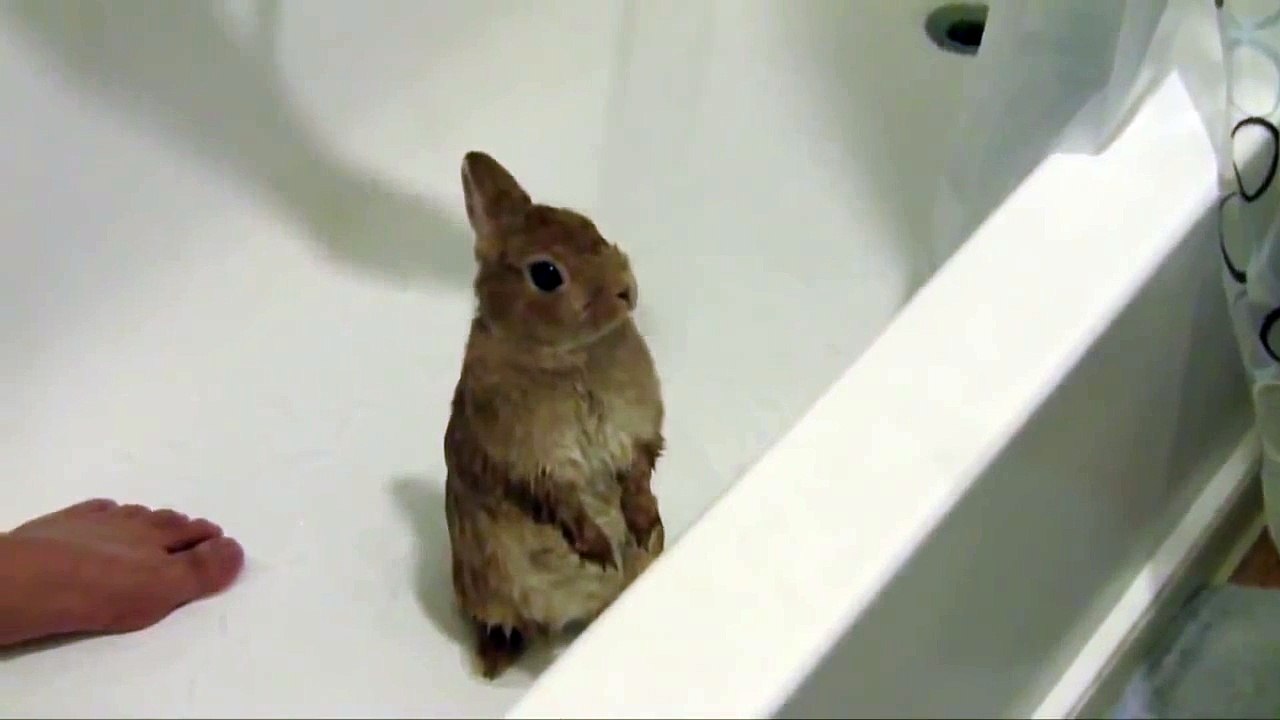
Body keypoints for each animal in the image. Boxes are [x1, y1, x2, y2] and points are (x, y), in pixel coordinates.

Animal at [443, 151, 666, 679]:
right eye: (546, 274)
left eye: (587, 225)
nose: (626, 291)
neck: (569, 361)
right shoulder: (527, 461)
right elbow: (560, 501)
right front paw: (598, 550)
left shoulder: (636, 428)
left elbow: (638, 470)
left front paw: (642, 522)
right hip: (483, 583)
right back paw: (492, 660)